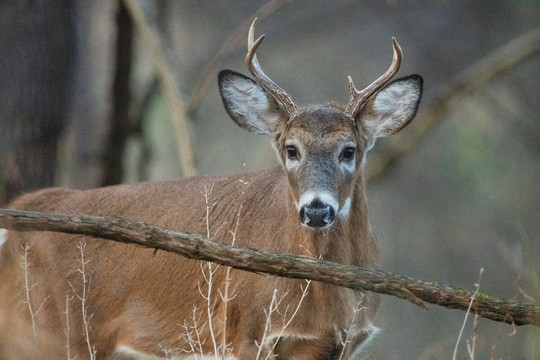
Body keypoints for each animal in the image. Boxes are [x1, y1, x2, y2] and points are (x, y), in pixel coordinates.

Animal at [0, 20, 422, 360]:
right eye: (291, 149)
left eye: (348, 150)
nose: (316, 210)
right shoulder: (245, 329)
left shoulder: (339, 344)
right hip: (49, 330)